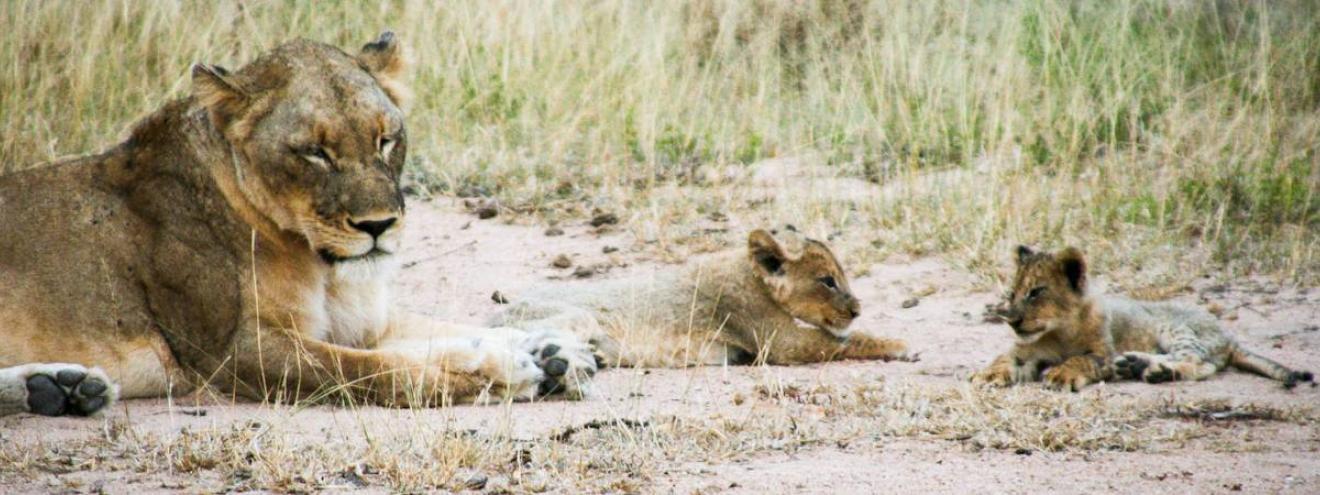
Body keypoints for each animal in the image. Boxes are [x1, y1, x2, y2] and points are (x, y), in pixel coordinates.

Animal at [0, 32, 598, 418]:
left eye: (386, 139)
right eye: (315, 152)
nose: (379, 225)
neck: (322, 266)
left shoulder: (362, 322)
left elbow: (438, 328)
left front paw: (553, 351)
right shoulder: (233, 354)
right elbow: (371, 370)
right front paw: (496, 371)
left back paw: (60, 388)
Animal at [489, 227, 910, 368]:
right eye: (827, 281)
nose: (857, 309)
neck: (750, 274)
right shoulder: (779, 342)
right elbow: (846, 341)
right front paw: (900, 345)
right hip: (576, 316)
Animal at [972, 245, 1314, 391]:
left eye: (1036, 292)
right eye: (1013, 293)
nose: (1011, 321)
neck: (1058, 331)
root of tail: (1229, 337)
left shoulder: (1103, 353)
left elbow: (1082, 360)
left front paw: (1062, 375)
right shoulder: (1025, 351)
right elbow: (1004, 358)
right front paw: (988, 375)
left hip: (1179, 329)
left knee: (1198, 362)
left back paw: (1150, 369)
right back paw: (1139, 365)